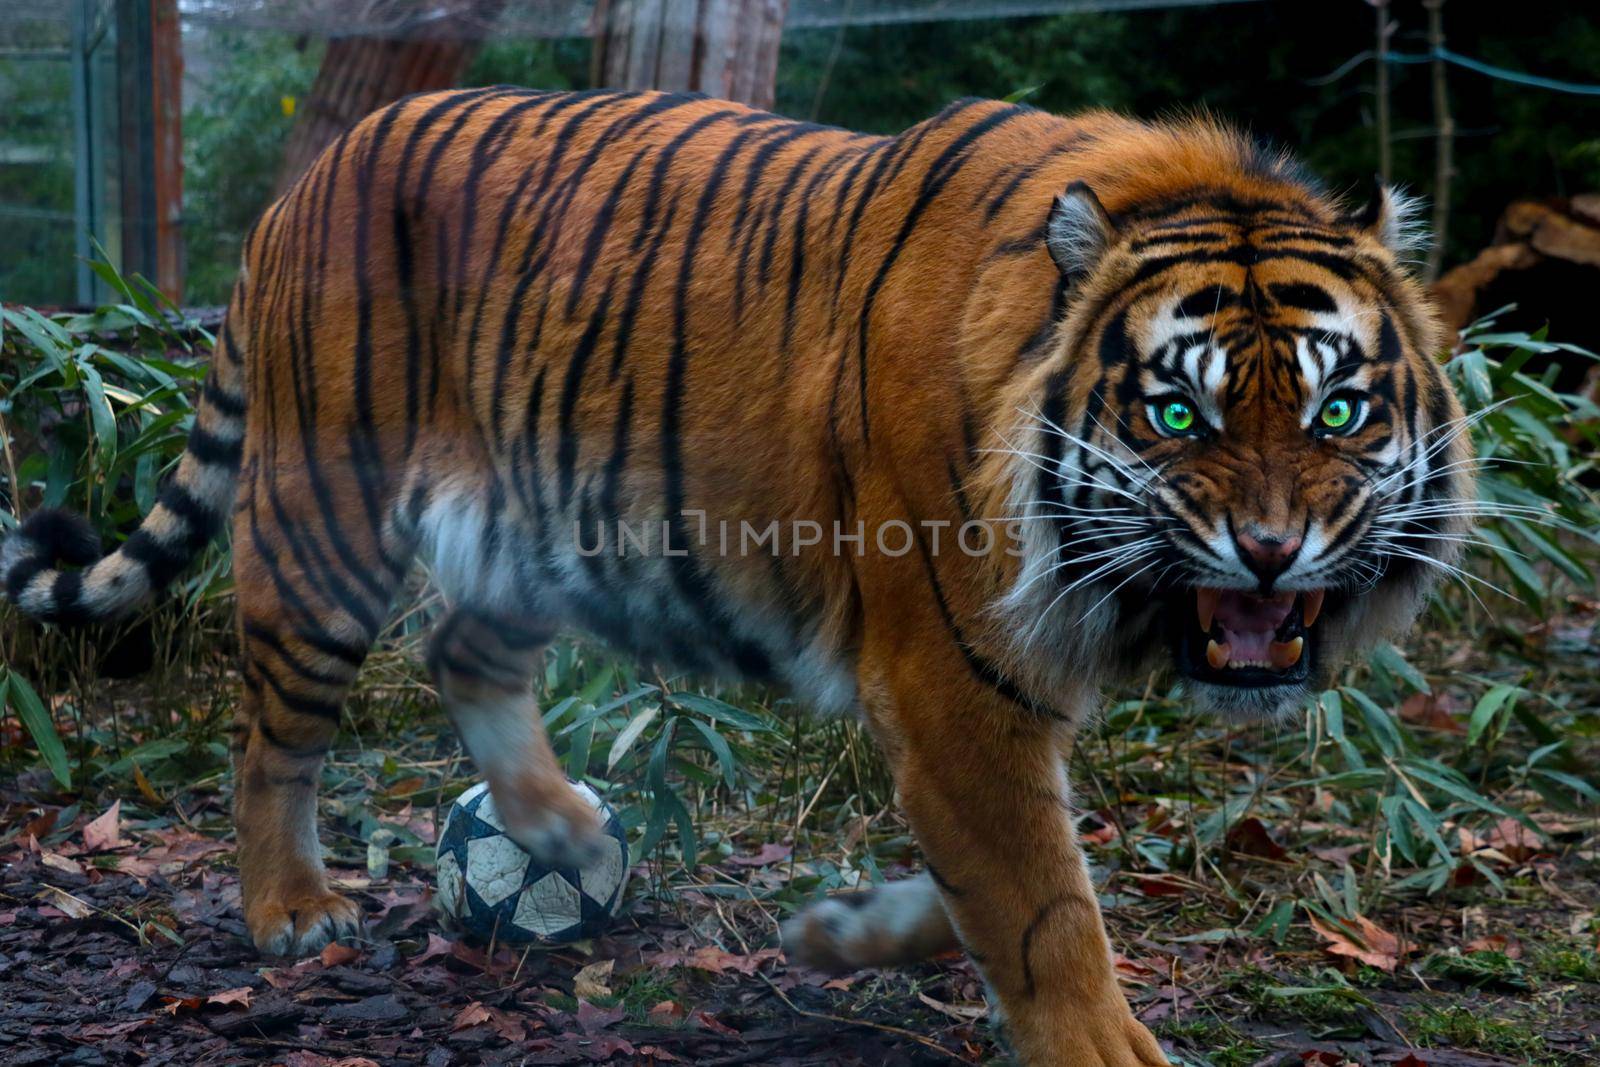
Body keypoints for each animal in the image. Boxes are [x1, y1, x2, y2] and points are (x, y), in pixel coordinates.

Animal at [3, 91, 1472, 1067]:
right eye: (1178, 416)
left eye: (1338, 414)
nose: (1272, 549)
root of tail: (314, 172)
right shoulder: (953, 682)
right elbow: (1046, 903)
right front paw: (1103, 1047)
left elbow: (997, 882)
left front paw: (844, 930)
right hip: (327, 520)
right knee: (274, 732)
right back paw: (290, 908)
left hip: (548, 518)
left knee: (461, 649)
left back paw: (563, 832)